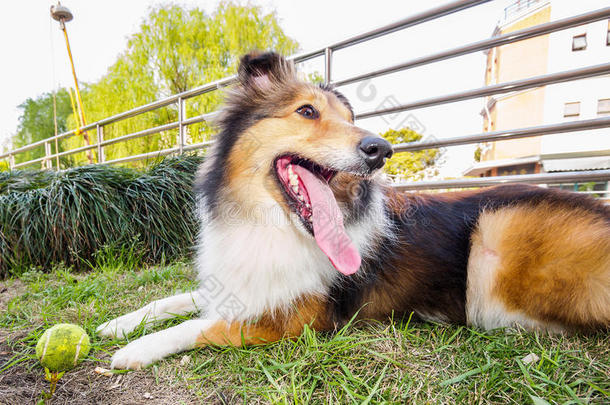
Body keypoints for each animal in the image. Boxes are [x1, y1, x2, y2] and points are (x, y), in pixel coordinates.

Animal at [96, 51, 608, 370]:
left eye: (349, 119)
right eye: (306, 111)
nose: (380, 149)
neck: (272, 222)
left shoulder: (297, 318)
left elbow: (200, 325)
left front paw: (137, 348)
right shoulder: (246, 284)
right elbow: (175, 300)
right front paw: (119, 323)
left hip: (497, 230)